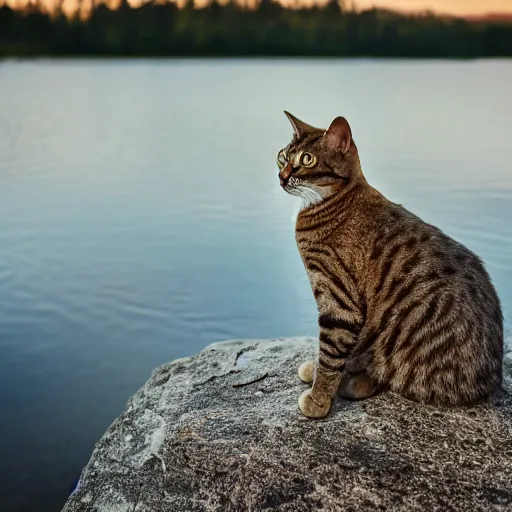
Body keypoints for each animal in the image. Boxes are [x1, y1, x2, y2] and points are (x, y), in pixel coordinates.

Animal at [276, 112, 504, 420]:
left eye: (307, 159)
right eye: (282, 156)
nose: (282, 176)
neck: (335, 203)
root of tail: (491, 382)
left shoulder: (339, 299)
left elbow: (331, 351)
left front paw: (320, 397)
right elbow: (342, 349)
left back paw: (352, 383)